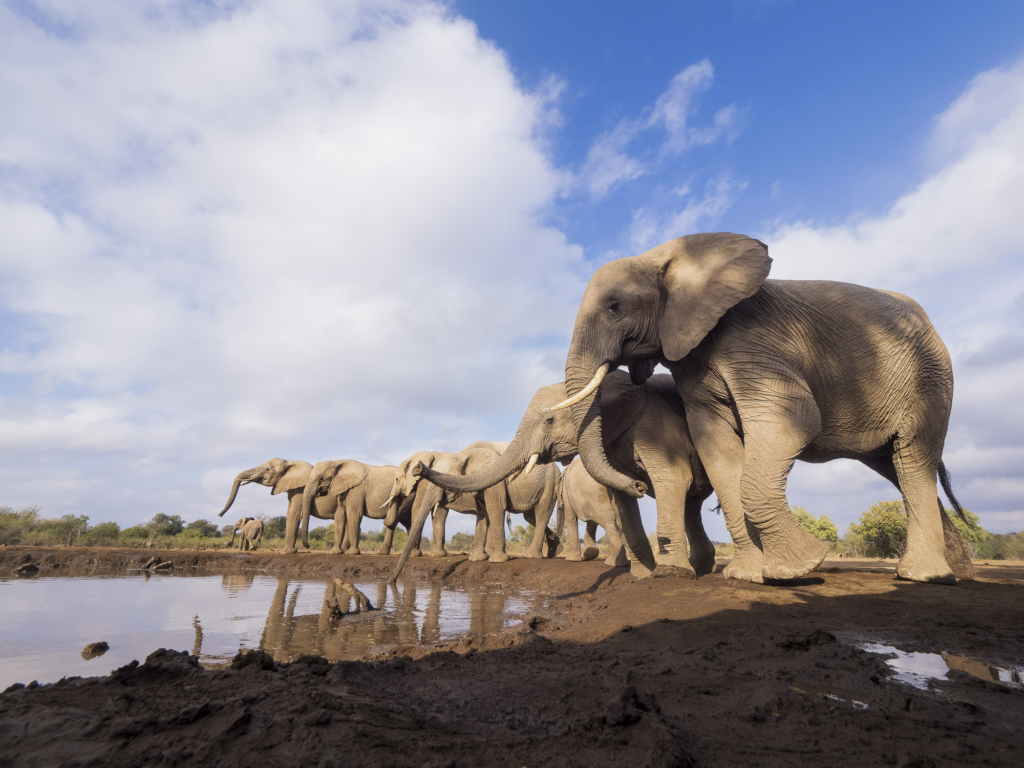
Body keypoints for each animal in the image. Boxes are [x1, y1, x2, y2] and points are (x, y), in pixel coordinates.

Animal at [557, 231, 970, 585]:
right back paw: (957, 571)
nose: (641, 486)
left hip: (929, 380)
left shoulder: (753, 343)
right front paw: (748, 576)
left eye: (614, 308)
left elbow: (794, 421)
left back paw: (923, 576)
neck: (664, 257)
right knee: (896, 466)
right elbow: (716, 447)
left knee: (912, 459)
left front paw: (799, 567)